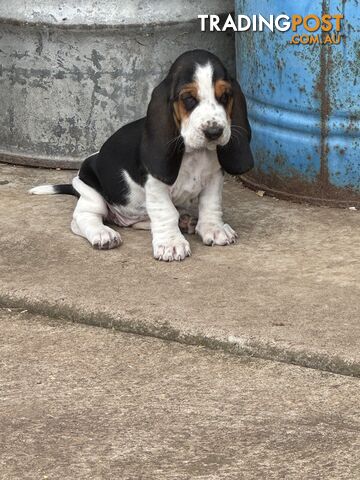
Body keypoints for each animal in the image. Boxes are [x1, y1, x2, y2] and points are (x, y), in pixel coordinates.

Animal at [31, 48, 253, 262]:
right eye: (189, 99)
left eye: (225, 96)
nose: (214, 132)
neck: (194, 153)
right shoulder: (156, 186)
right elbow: (165, 212)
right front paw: (171, 244)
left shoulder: (214, 177)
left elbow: (210, 204)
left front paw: (214, 229)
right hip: (89, 191)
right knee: (83, 218)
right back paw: (103, 234)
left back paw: (185, 220)